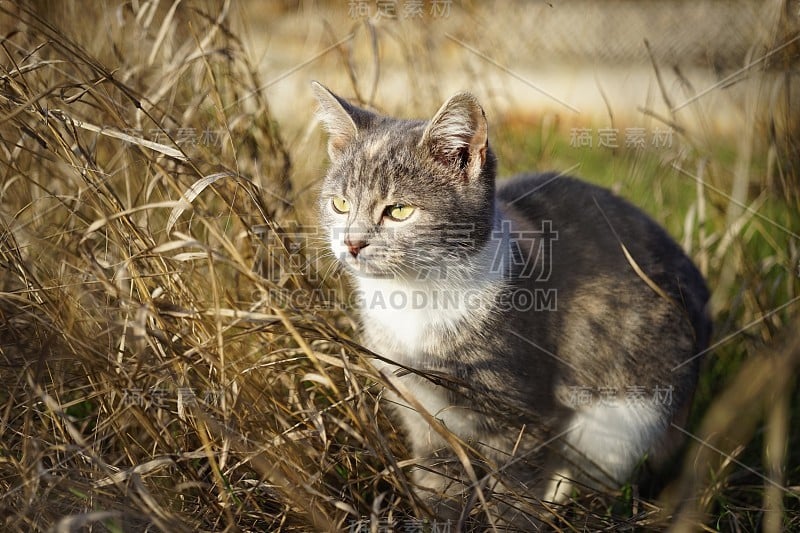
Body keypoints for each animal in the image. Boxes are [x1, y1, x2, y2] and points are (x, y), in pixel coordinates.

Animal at [312, 81, 712, 524]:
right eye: (340, 204)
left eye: (399, 210)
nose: (352, 243)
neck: (415, 299)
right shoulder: (421, 410)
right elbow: (439, 479)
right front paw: (437, 514)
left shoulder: (524, 413)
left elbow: (517, 489)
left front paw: (512, 516)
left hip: (627, 419)